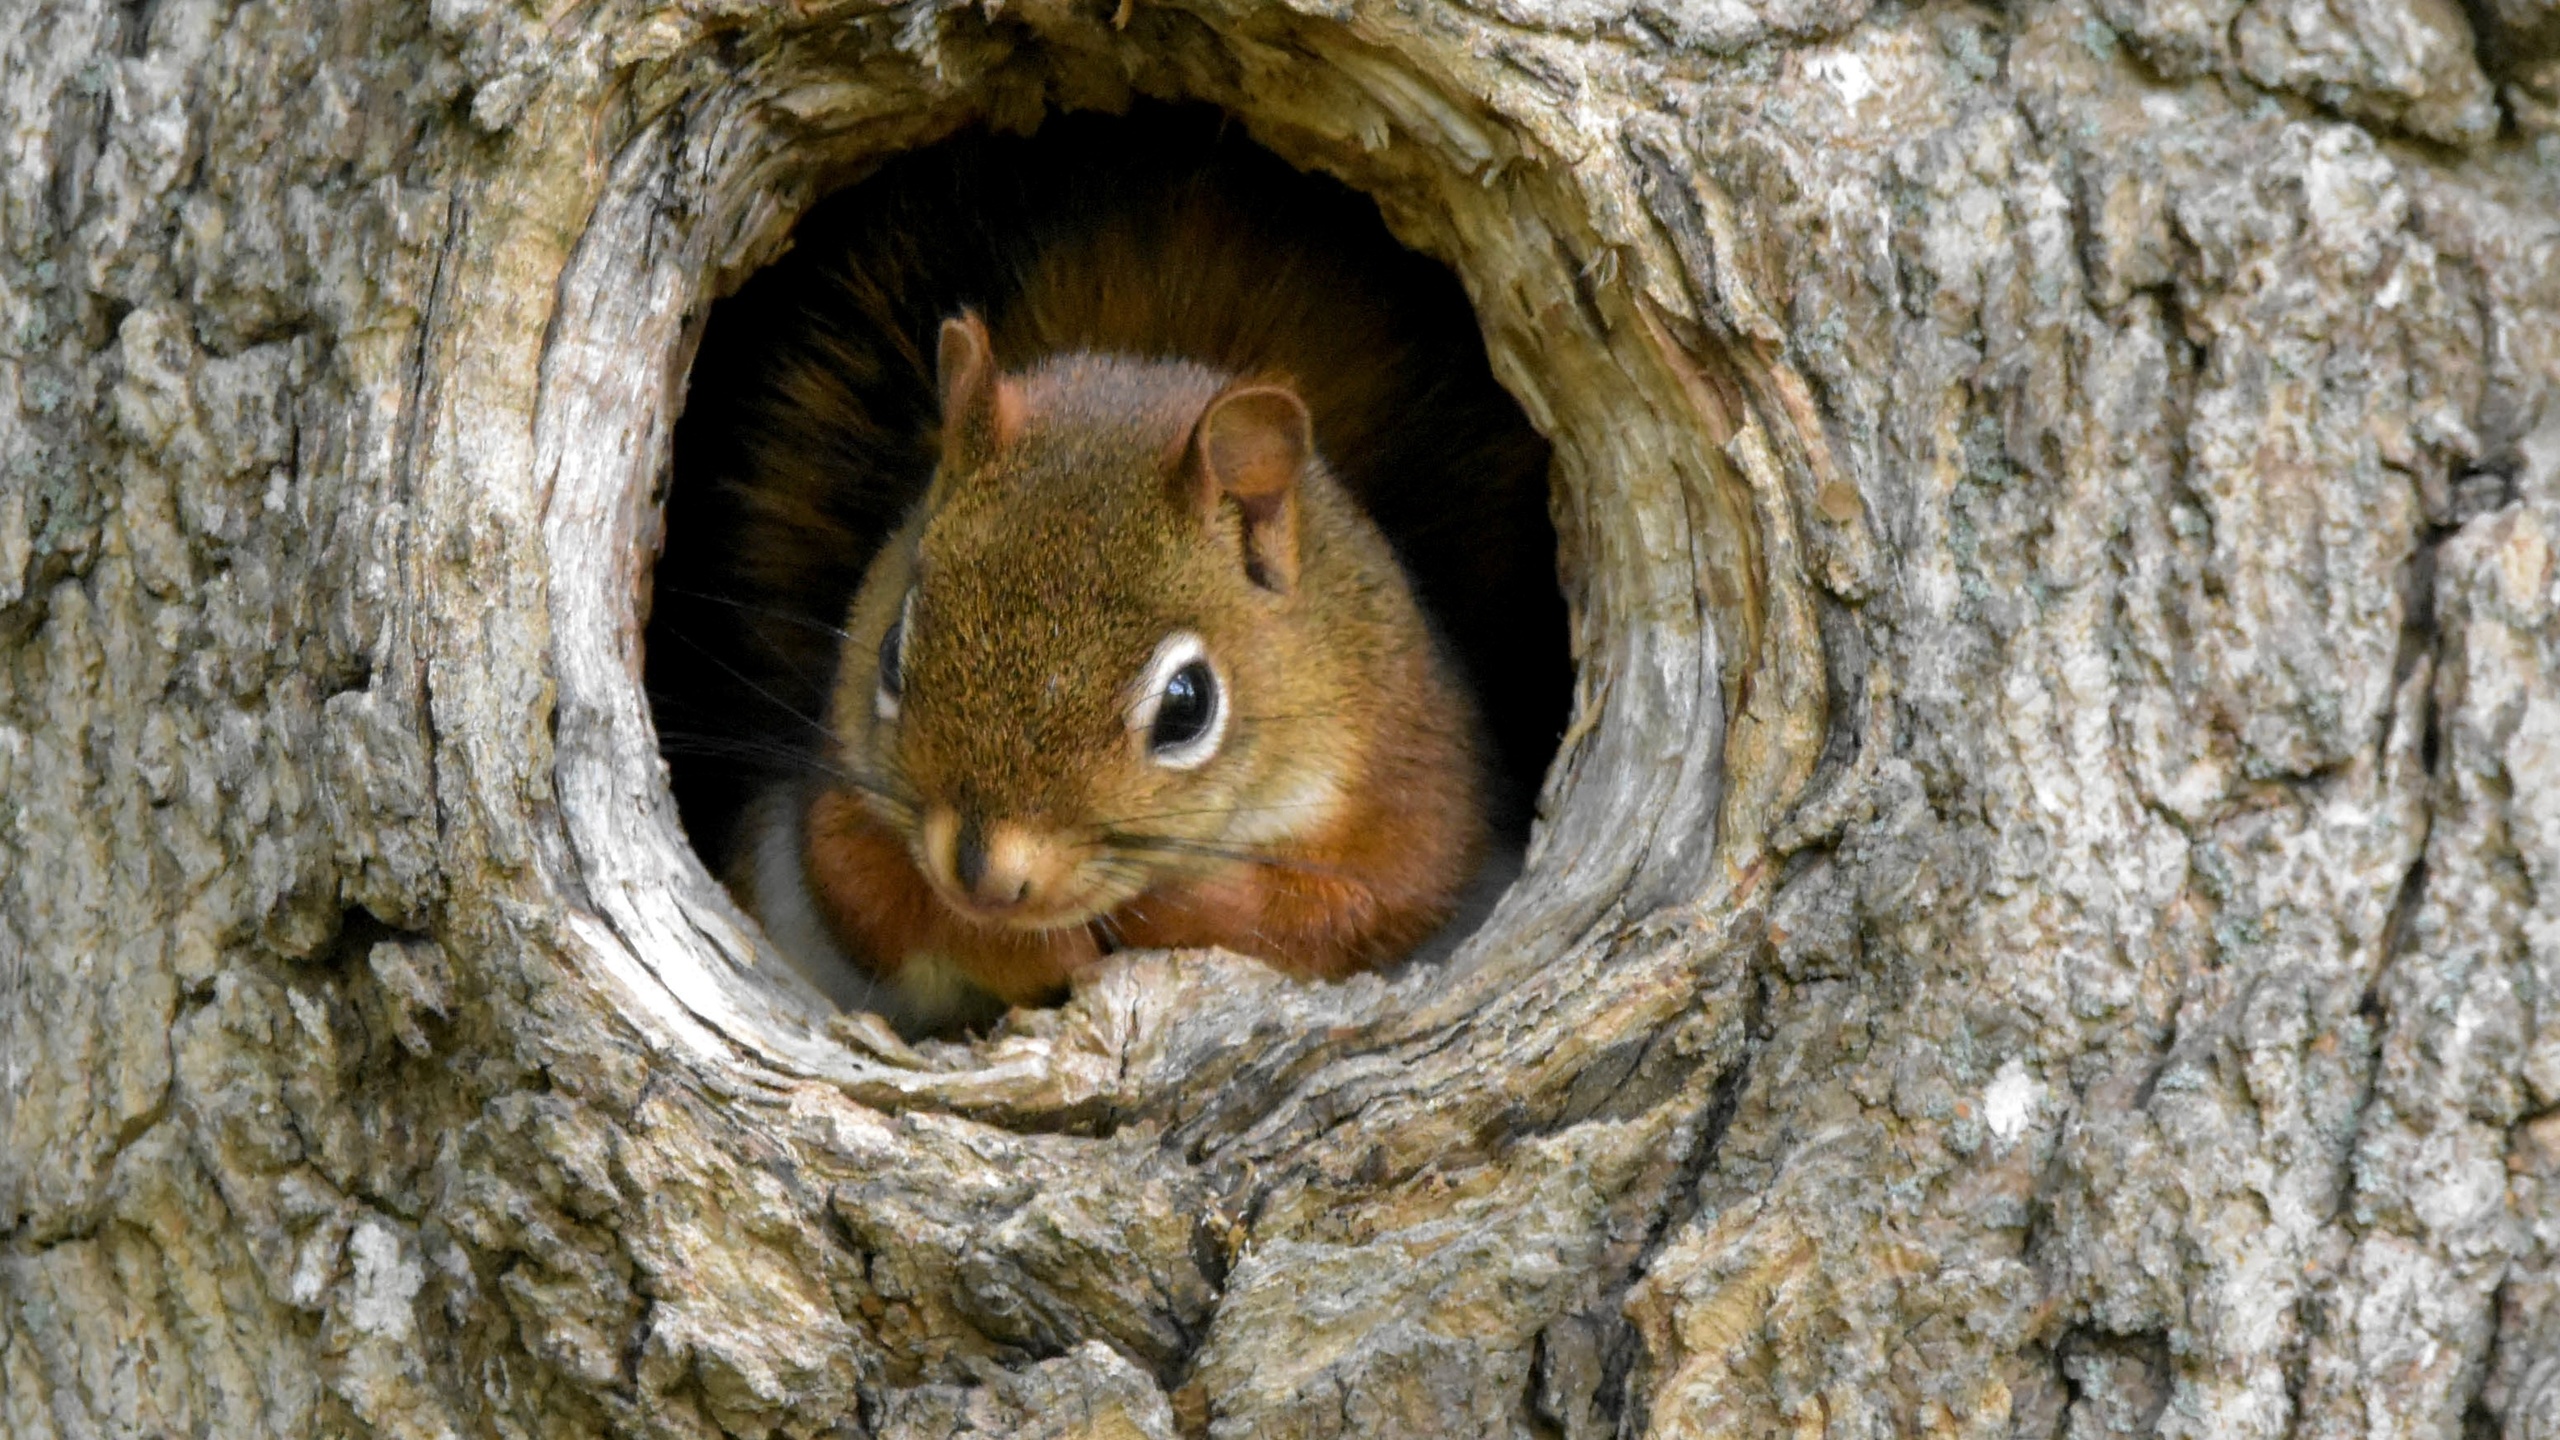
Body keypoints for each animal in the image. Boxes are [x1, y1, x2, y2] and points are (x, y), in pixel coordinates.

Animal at [645, 114, 1556, 1030]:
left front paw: (1168, 910)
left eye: (1188, 707)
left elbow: (1364, 907)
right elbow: (862, 888)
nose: (986, 876)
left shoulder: (1411, 784)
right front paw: (1027, 943)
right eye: (893, 653)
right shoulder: (841, 793)